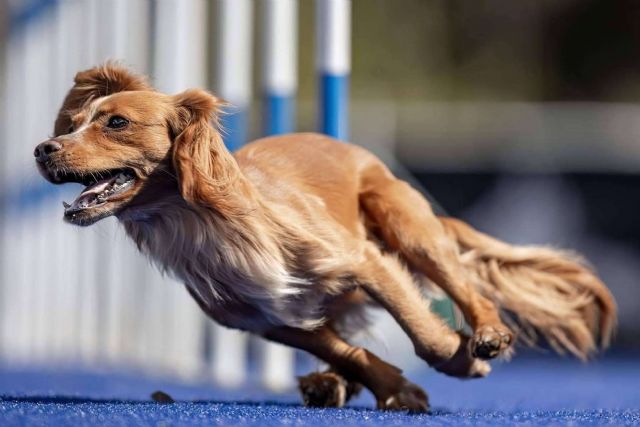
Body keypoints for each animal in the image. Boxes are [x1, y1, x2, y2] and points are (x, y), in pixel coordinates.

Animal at [33, 64, 616, 414]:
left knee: (467, 289)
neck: (206, 223)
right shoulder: (267, 320)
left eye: (116, 122)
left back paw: (487, 333)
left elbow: (420, 328)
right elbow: (348, 351)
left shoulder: (364, 262)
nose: (43, 149)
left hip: (407, 225)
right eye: (74, 121)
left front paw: (458, 357)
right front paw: (395, 387)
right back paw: (327, 385)